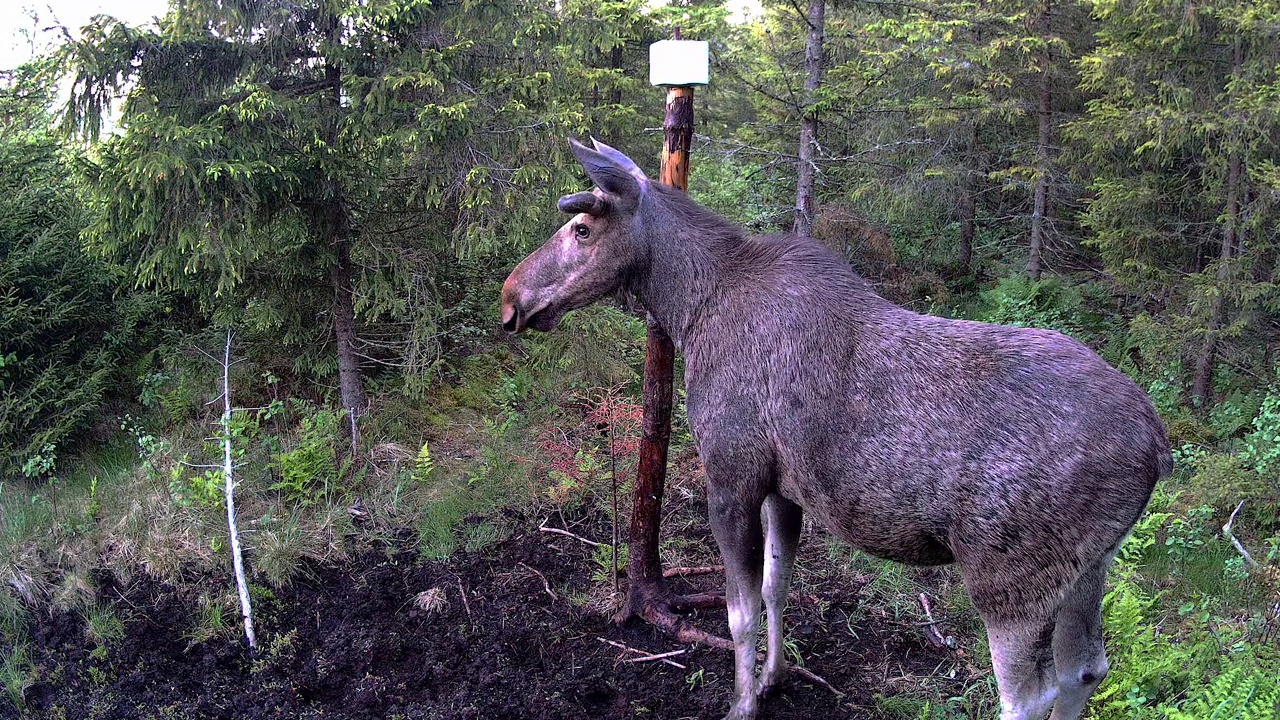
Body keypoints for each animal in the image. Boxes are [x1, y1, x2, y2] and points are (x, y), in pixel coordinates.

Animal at [499, 135, 1172, 717]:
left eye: (581, 229)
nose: (510, 298)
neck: (690, 310)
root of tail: (1157, 448)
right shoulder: (784, 488)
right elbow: (778, 586)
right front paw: (773, 679)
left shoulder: (732, 475)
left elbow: (739, 612)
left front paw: (741, 702)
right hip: (1090, 564)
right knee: (1085, 669)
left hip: (1009, 577)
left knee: (1029, 695)